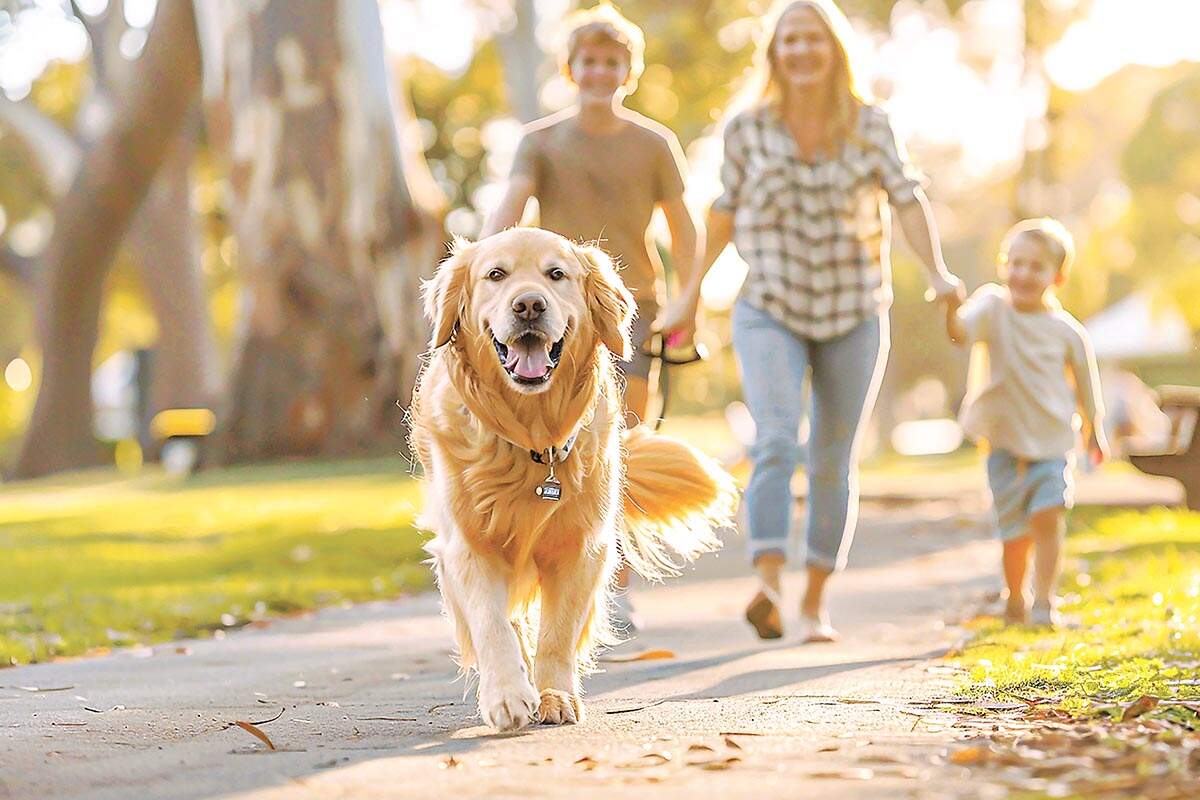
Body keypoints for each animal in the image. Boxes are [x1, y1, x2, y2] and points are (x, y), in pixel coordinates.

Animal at [408, 225, 734, 734]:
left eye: (556, 274)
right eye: (495, 275)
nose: (529, 305)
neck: (531, 438)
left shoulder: (582, 547)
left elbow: (558, 633)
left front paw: (554, 695)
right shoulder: (467, 546)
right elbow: (491, 624)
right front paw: (507, 694)